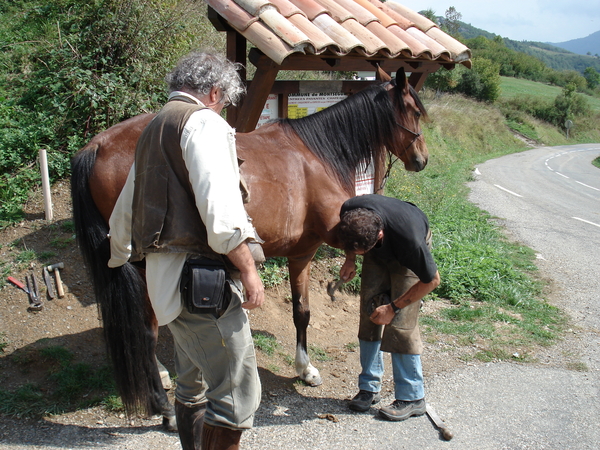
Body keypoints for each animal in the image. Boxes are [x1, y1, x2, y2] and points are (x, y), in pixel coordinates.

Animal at [69, 67, 426, 428]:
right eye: (413, 110)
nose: (421, 160)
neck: (317, 154)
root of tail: (97, 145)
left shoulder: (301, 255)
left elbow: (301, 312)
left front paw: (305, 369)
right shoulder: (321, 242)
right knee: (147, 330)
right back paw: (164, 407)